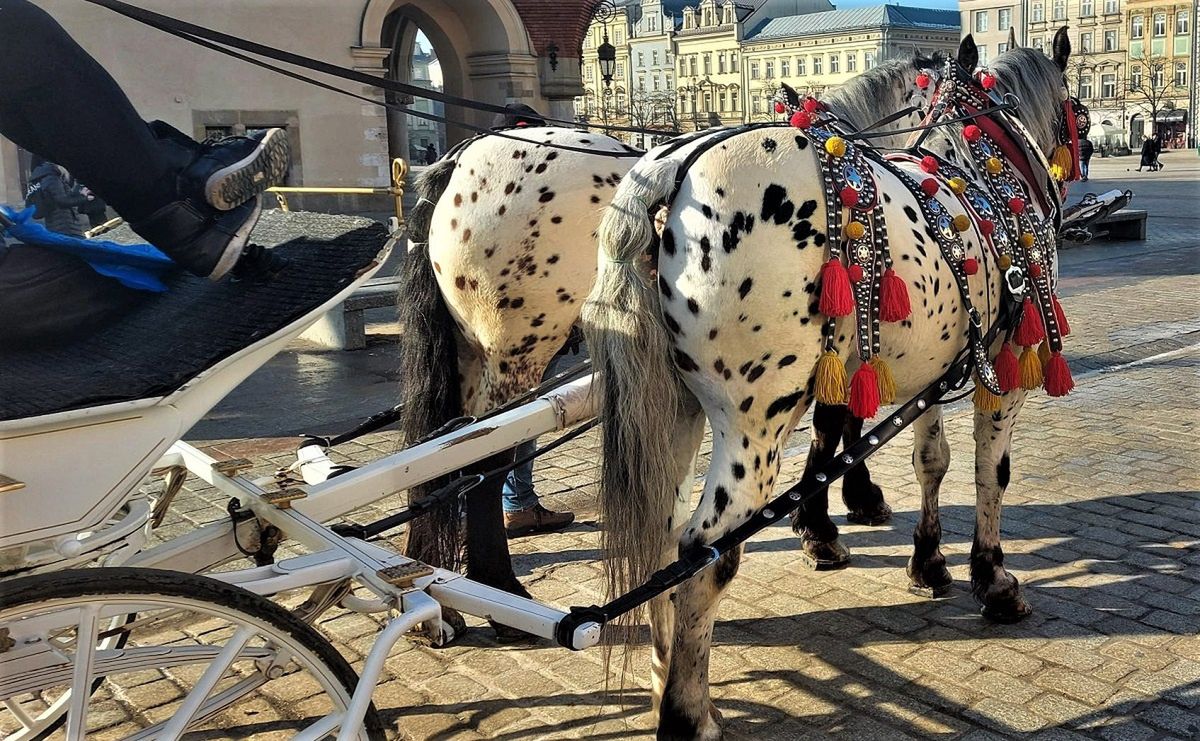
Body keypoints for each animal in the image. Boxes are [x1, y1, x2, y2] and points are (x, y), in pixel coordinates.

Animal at [393, 59, 936, 633]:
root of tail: (460, 156)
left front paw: (838, 512)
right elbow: (839, 424)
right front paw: (833, 522)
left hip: (468, 351)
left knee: (440, 445)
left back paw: (435, 594)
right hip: (518, 350)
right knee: (484, 460)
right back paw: (497, 585)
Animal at [585, 31, 1084, 733]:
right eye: (1077, 109)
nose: (1084, 152)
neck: (983, 167)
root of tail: (671, 163)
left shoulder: (934, 368)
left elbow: (931, 460)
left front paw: (928, 562)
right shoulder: (1007, 362)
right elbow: (992, 471)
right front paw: (992, 579)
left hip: (670, 412)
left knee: (662, 534)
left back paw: (662, 681)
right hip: (754, 420)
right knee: (708, 551)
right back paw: (689, 714)